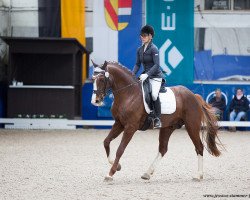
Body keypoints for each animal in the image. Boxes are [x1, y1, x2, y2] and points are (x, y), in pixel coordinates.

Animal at [91, 60, 222, 181]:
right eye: (92, 79)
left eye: (101, 79)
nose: (95, 101)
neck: (128, 94)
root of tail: (194, 96)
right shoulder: (119, 124)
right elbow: (106, 142)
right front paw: (117, 166)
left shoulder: (130, 127)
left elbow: (120, 149)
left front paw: (110, 173)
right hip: (168, 127)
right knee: (163, 149)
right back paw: (147, 173)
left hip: (192, 126)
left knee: (199, 147)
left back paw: (198, 175)